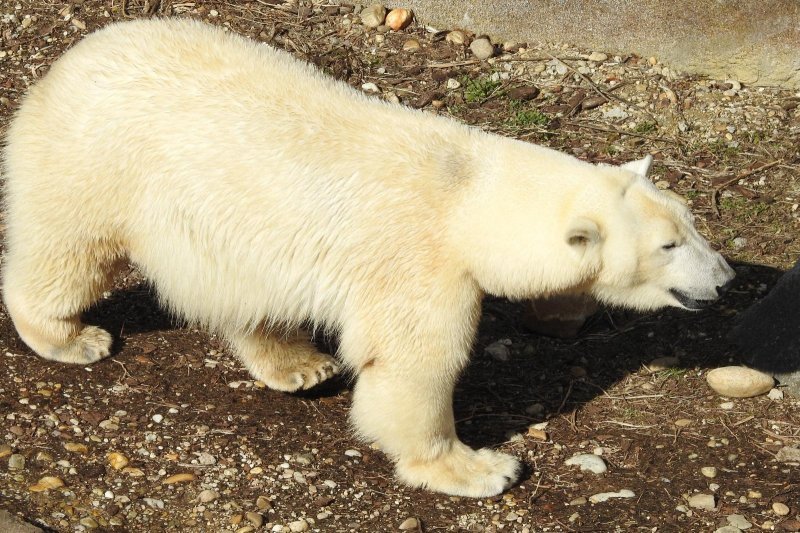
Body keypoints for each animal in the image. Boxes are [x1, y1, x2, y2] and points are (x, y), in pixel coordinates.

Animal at [3, 17, 736, 498]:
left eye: (693, 225)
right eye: (668, 246)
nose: (727, 278)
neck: (468, 190)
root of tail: (73, 57)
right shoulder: (422, 262)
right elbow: (414, 363)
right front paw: (480, 468)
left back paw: (298, 365)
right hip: (98, 158)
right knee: (69, 249)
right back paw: (69, 335)